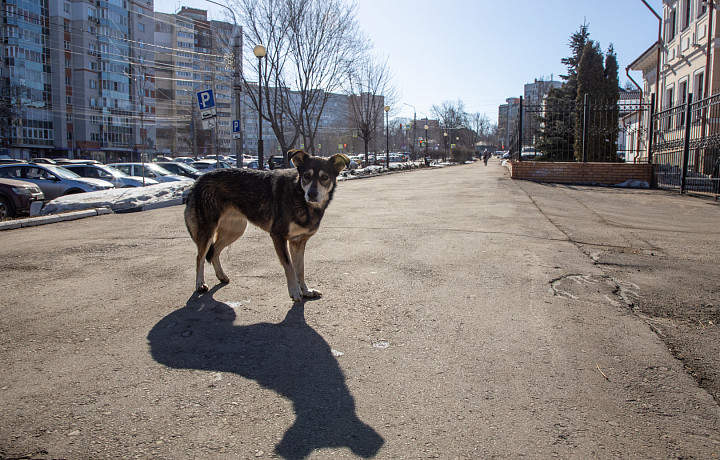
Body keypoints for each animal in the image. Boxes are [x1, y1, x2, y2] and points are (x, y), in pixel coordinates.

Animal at [184, 151, 350, 300]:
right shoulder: (278, 236)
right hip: (207, 230)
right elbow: (289, 266)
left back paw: (221, 276)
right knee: (200, 257)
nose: (312, 194)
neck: (299, 196)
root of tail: (198, 180)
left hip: (235, 230)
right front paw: (295, 291)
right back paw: (200, 284)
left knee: (214, 252)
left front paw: (306, 290)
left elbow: (300, 270)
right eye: (306, 176)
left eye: (324, 177)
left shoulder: (298, 241)